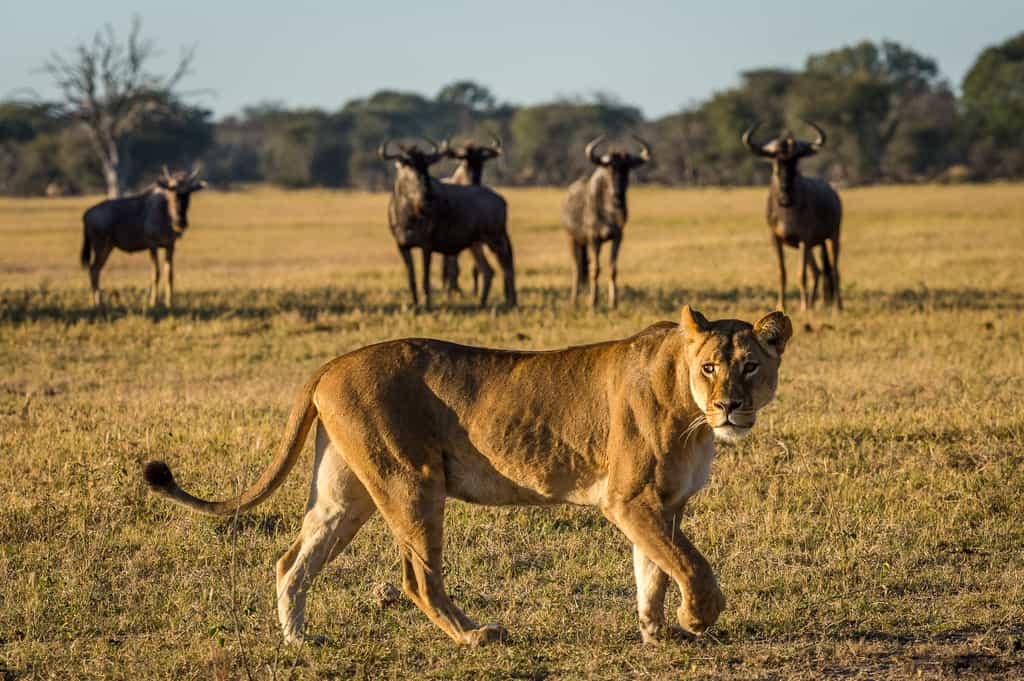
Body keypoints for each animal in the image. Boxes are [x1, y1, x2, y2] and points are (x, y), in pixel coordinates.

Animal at [143, 305, 792, 646]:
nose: (730, 406)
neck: (692, 417)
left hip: (344, 493)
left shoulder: (665, 503)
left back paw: (300, 640)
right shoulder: (629, 499)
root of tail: (332, 362)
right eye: (709, 368)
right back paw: (475, 635)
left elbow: (654, 570)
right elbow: (692, 565)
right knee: (417, 579)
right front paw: (696, 618)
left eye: (750, 367)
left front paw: (660, 634)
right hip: (411, 481)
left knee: (291, 560)